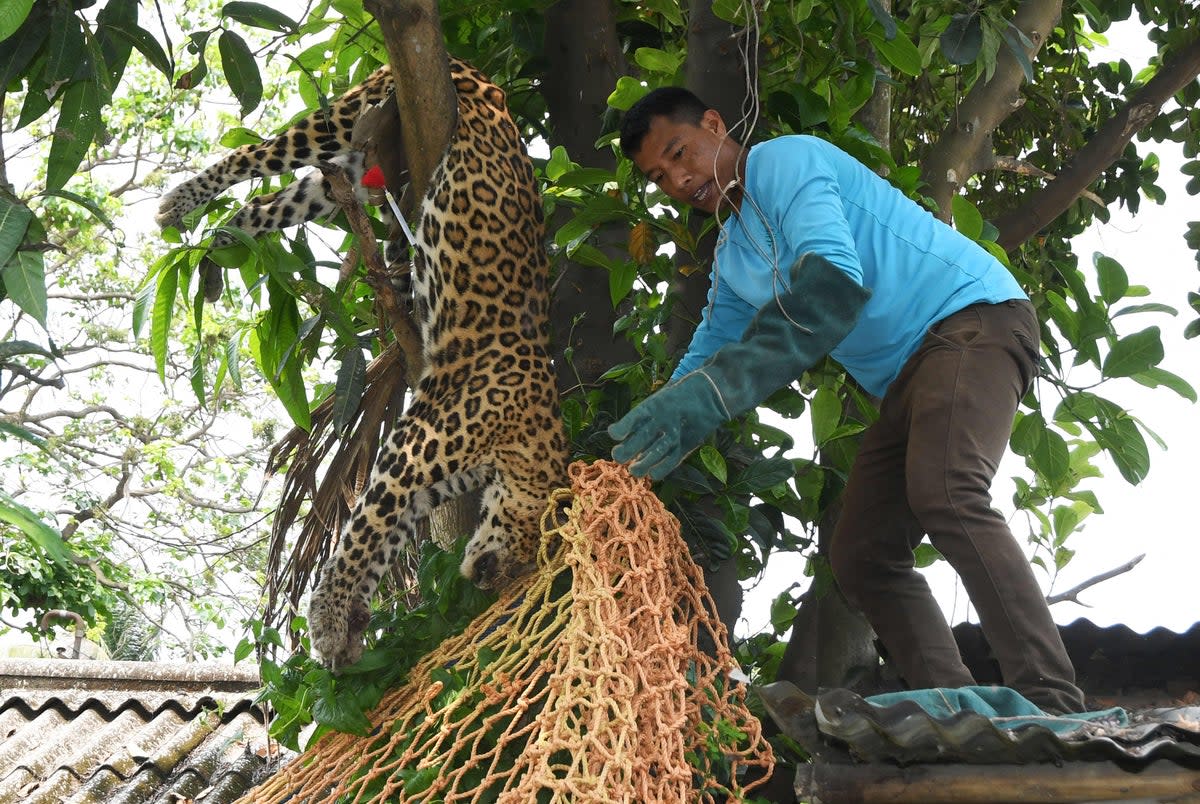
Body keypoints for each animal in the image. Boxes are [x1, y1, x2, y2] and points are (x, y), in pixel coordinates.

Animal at [157, 56, 568, 672]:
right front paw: (328, 617)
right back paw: (180, 202)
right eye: (530, 553)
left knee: (265, 204)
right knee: (254, 153)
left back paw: (217, 247)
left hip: (344, 177)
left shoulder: (424, 476)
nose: (489, 581)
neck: (533, 435)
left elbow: (384, 539)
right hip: (342, 120)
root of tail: (475, 71)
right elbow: (365, 530)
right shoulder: (415, 447)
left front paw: (348, 622)